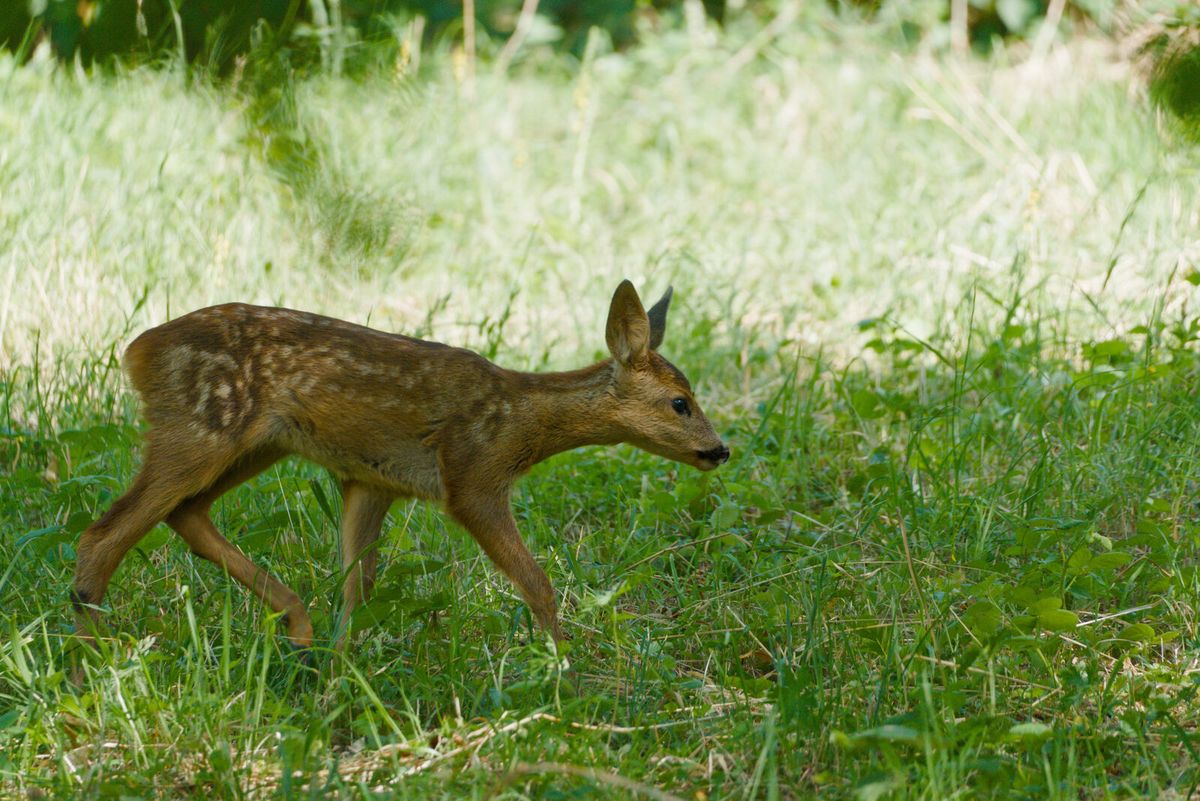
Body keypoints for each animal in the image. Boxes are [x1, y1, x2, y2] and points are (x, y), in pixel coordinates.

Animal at [70, 280, 730, 657]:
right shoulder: (471, 476)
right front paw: (566, 670)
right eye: (680, 402)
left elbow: (357, 590)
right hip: (201, 426)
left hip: (260, 443)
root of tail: (136, 352)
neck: (519, 420)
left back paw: (297, 626)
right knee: (105, 532)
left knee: (184, 514)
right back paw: (89, 666)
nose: (720, 450)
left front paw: (338, 677)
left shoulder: (372, 481)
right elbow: (537, 582)